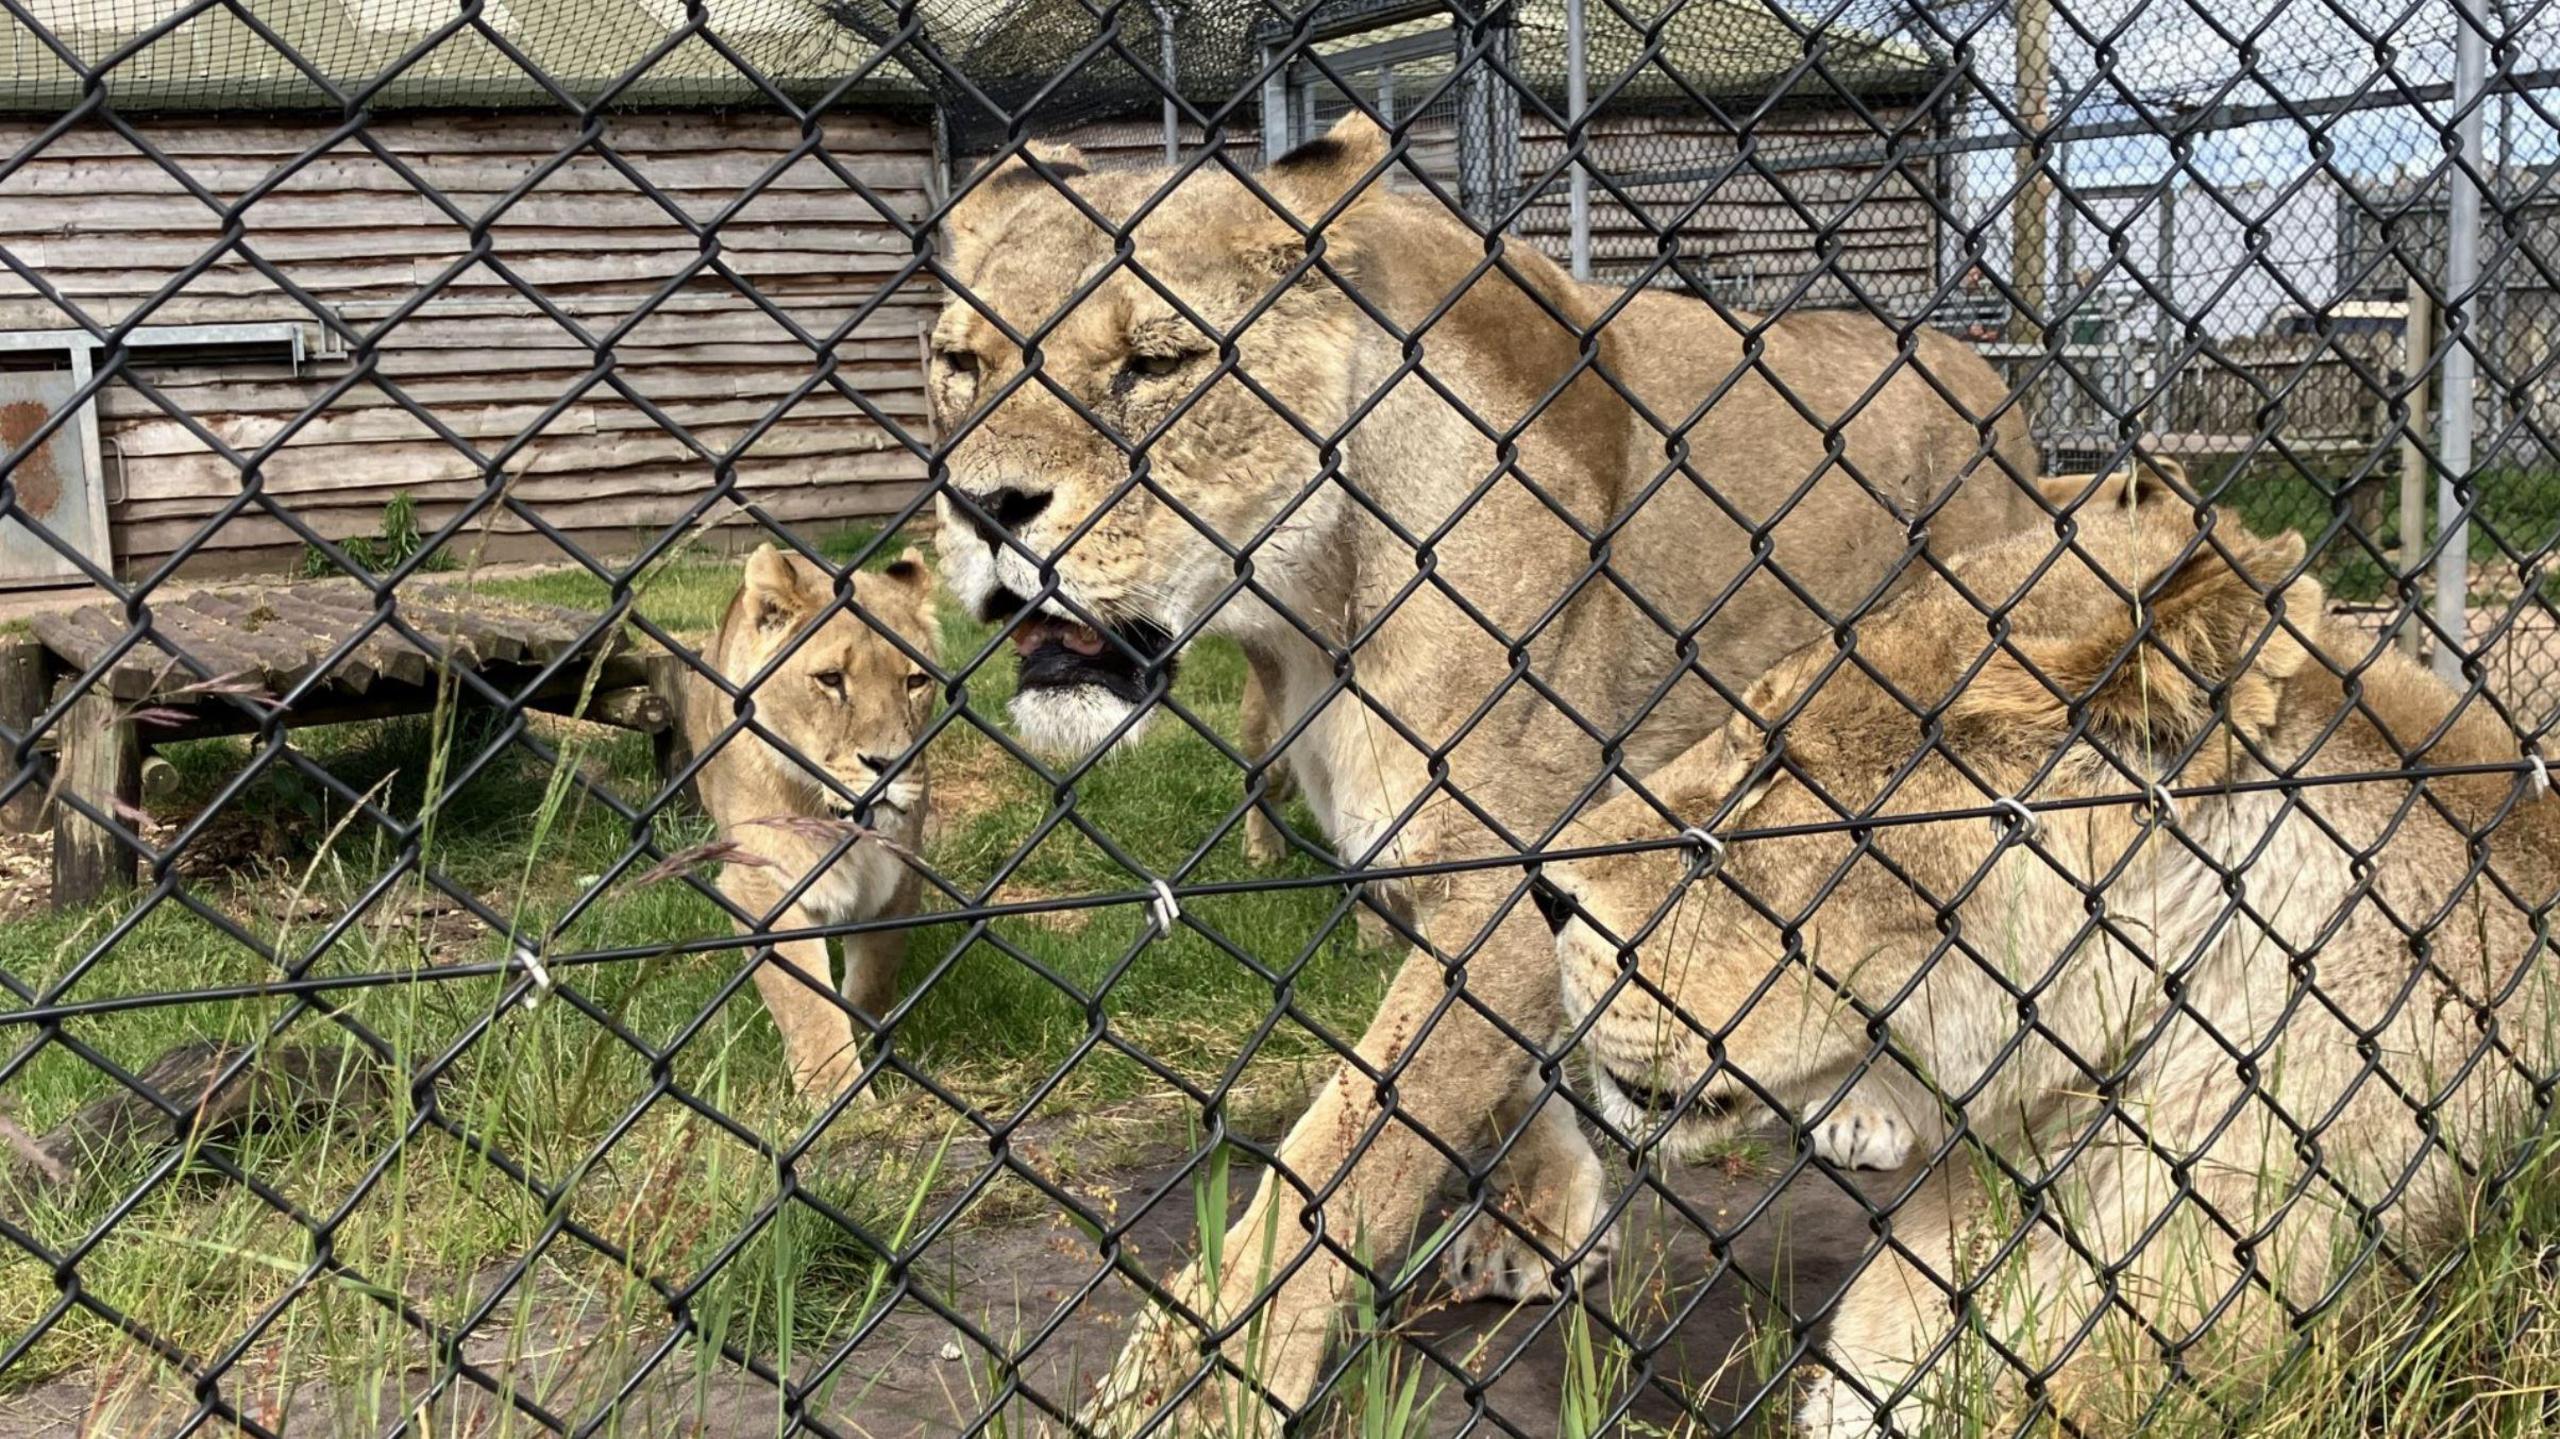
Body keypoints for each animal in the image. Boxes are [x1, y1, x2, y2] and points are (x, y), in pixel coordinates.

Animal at [686, 542, 947, 1090]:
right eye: (830, 680)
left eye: (915, 681)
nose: (889, 765)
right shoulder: (762, 889)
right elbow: (808, 1008)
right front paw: (842, 1096)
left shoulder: (898, 875)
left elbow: (872, 980)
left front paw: (866, 1044)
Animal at [931, 114, 2048, 1423]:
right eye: (959, 364)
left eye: (1159, 364)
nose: (982, 508)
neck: (1307, 606)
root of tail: (1984, 376)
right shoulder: (1424, 856)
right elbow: (1499, 1078)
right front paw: (1544, 1224)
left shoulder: (1505, 860)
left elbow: (1351, 1148)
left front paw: (1202, 1385)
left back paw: (1875, 1110)